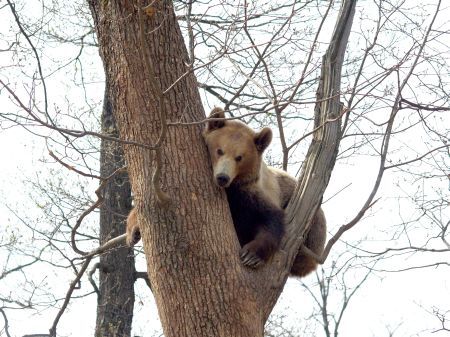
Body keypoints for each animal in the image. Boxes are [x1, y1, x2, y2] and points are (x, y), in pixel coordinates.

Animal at [204, 107, 326, 276]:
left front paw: (251, 255)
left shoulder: (255, 195)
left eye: (239, 157)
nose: (223, 177)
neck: (232, 188)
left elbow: (270, 220)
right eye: (219, 150)